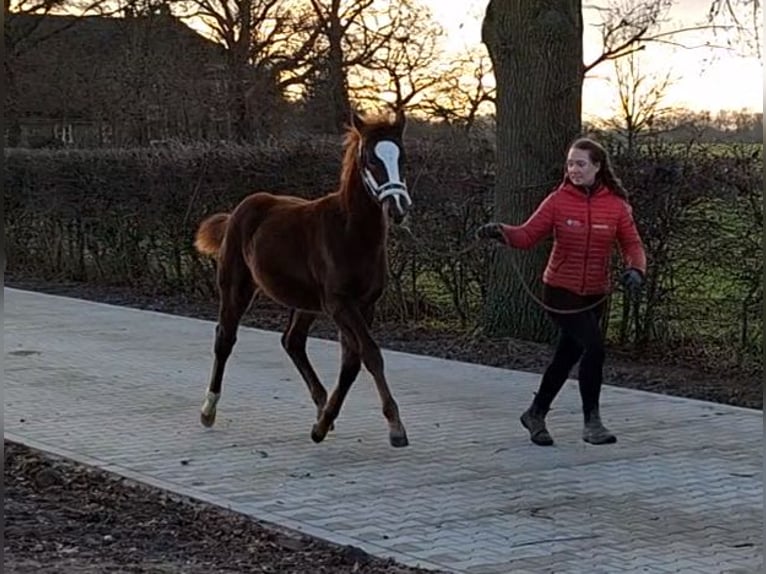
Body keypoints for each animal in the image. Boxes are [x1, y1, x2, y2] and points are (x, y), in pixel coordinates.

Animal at [195, 109, 416, 450]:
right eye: (370, 159)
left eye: (401, 157)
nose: (398, 208)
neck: (352, 233)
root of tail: (238, 211)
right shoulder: (340, 303)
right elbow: (370, 354)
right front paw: (396, 427)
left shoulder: (365, 305)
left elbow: (352, 362)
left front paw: (322, 424)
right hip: (235, 287)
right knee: (225, 339)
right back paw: (208, 409)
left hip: (306, 302)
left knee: (293, 341)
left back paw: (322, 405)